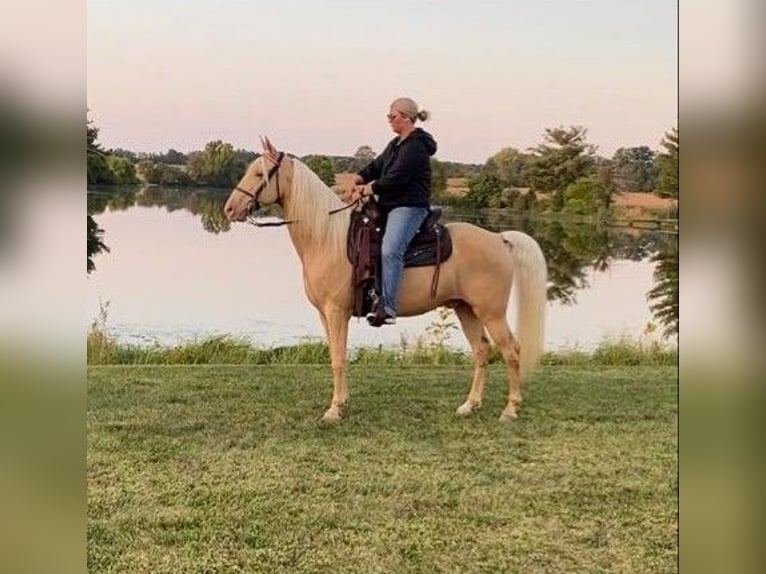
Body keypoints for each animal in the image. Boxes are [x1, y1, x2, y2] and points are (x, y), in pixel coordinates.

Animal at [225, 137, 548, 420]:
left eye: (259, 173)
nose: (230, 208)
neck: (327, 238)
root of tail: (499, 239)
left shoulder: (336, 311)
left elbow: (338, 359)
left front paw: (334, 411)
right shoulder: (324, 314)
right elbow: (335, 356)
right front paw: (342, 402)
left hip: (491, 313)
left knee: (511, 351)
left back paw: (510, 410)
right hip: (465, 309)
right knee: (482, 352)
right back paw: (470, 405)